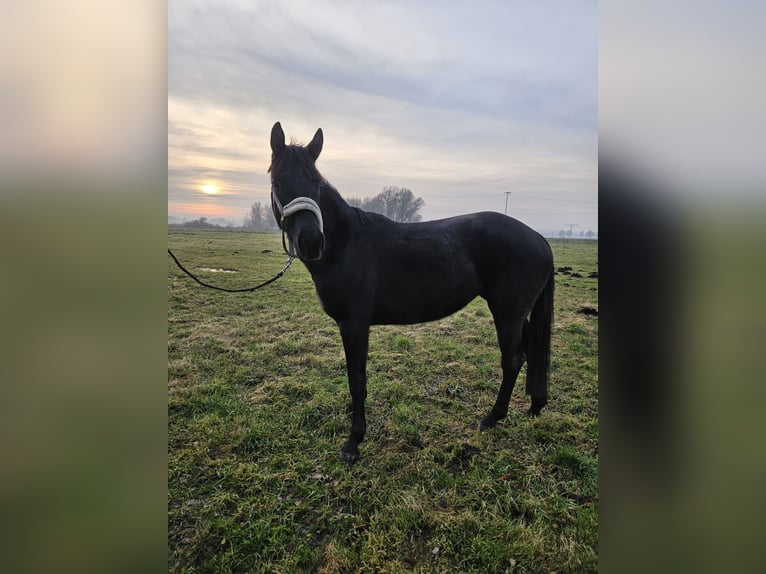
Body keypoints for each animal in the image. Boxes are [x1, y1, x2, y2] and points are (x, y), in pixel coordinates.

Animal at [268, 124, 556, 466]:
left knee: (512, 360)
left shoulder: (354, 324)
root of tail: (538, 237)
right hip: (518, 313)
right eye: (277, 182)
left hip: (508, 312)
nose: (312, 242)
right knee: (527, 353)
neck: (347, 244)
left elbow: (357, 380)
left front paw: (354, 441)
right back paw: (534, 405)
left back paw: (492, 418)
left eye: (317, 183)